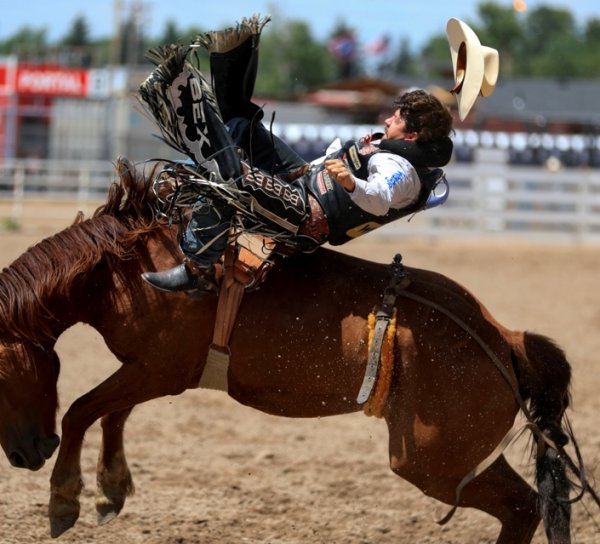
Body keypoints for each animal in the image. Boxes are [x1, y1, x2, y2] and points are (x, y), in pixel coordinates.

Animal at [0, 158, 596, 544]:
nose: (27, 453)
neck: (126, 268)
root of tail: (503, 338)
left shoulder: (160, 369)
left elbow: (82, 410)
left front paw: (64, 500)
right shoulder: (146, 372)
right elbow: (111, 415)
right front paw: (111, 490)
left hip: (435, 463)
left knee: (521, 507)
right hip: (458, 457)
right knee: (524, 508)